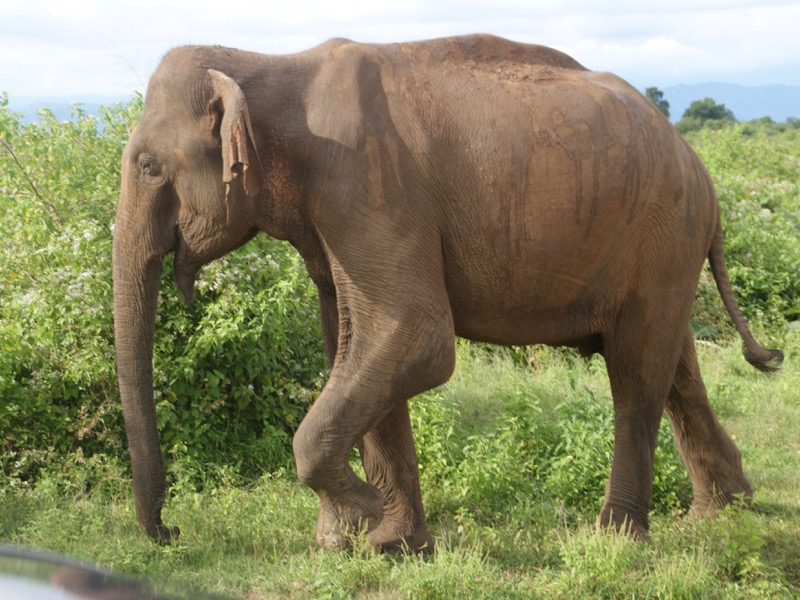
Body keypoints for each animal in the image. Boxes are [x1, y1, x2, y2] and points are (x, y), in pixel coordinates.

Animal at [112, 32, 780, 552]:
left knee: (637, 373)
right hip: (660, 247)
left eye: (148, 166)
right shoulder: (336, 214)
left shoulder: (365, 181)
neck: (270, 64)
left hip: (663, 230)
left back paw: (619, 539)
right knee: (674, 363)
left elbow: (416, 338)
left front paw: (361, 519)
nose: (171, 532)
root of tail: (702, 170)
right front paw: (385, 545)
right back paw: (726, 511)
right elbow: (354, 346)